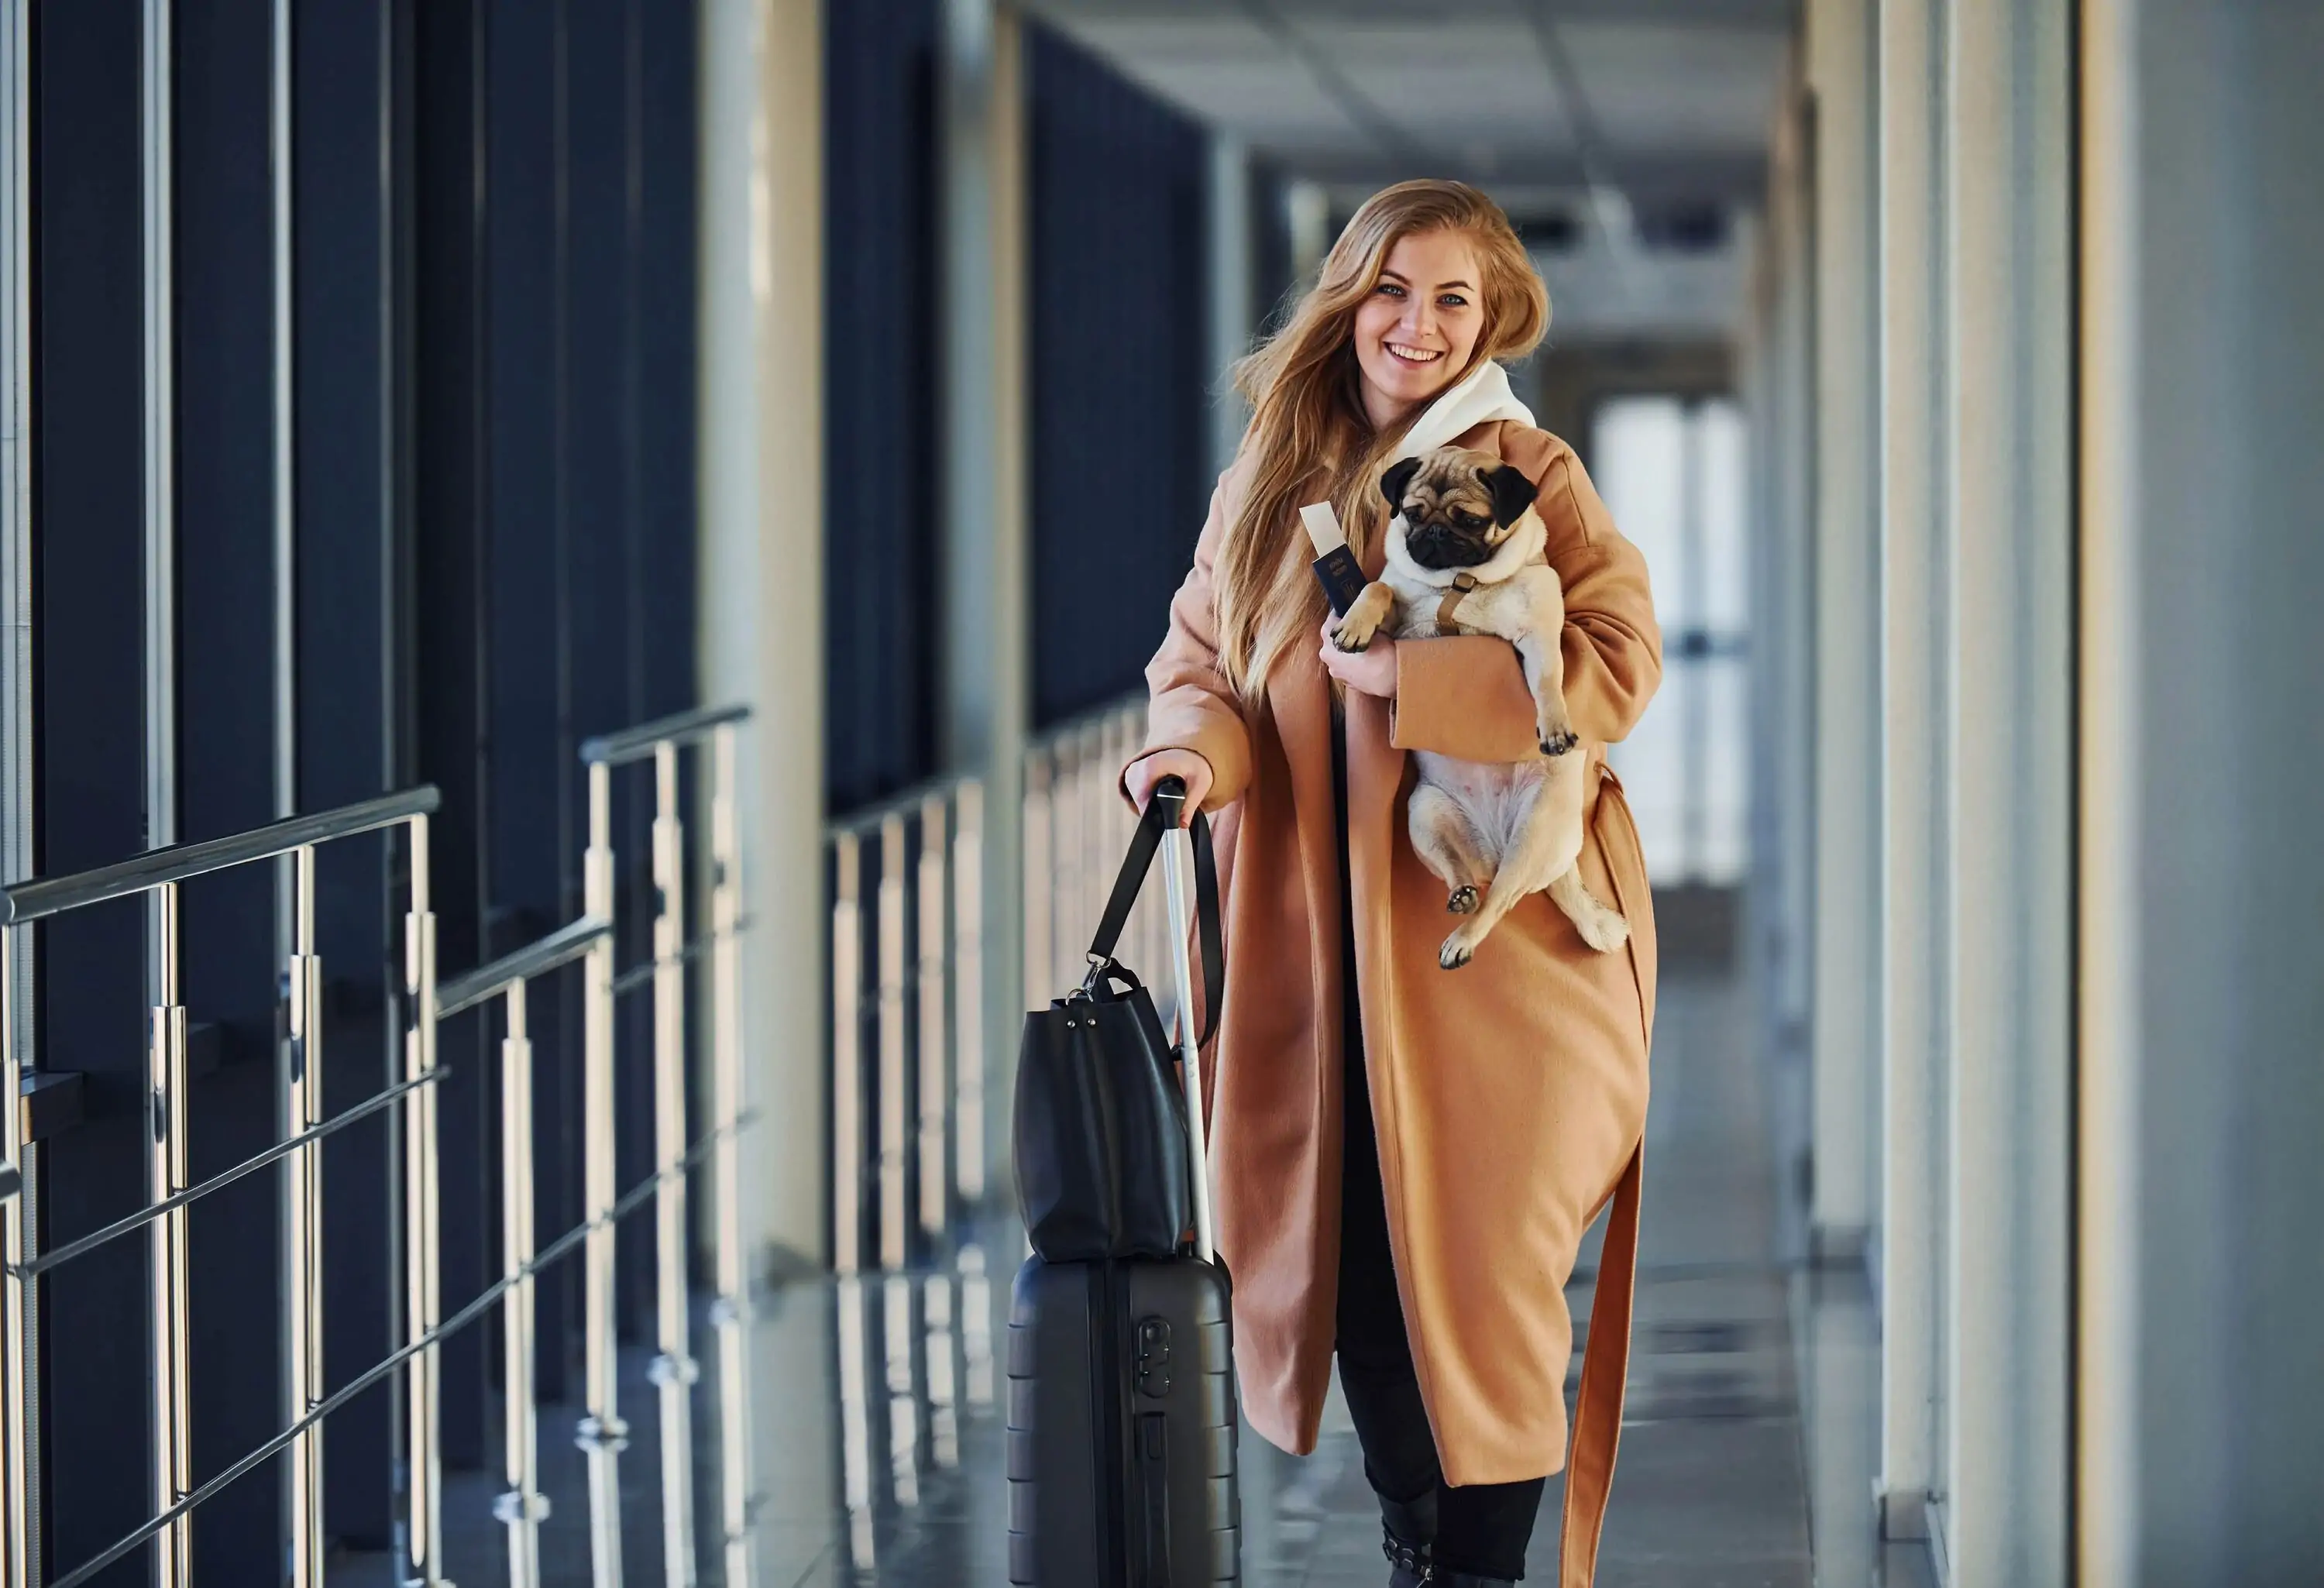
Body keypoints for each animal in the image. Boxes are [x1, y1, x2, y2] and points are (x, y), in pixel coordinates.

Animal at [1329, 446, 1636, 967]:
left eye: (1471, 521)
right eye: (1412, 514)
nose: (1434, 533)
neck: (1459, 584)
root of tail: (1495, 847)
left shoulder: (1538, 636)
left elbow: (1549, 681)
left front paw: (1555, 726)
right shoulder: (1400, 620)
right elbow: (1378, 588)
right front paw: (1354, 624)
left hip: (1532, 835)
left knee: (1499, 901)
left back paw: (1463, 940)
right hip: (1425, 815)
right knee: (1462, 873)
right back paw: (1461, 894)